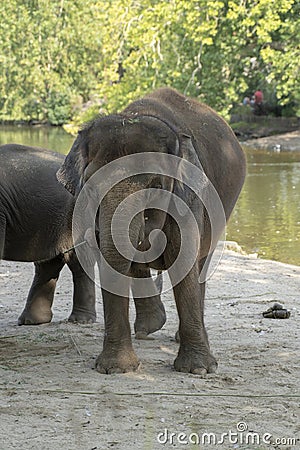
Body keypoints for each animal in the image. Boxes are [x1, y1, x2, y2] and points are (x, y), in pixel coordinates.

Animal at [56, 86, 246, 374]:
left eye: (155, 186)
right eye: (90, 185)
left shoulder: (188, 198)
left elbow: (184, 261)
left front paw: (198, 370)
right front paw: (117, 369)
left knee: (201, 265)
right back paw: (149, 327)